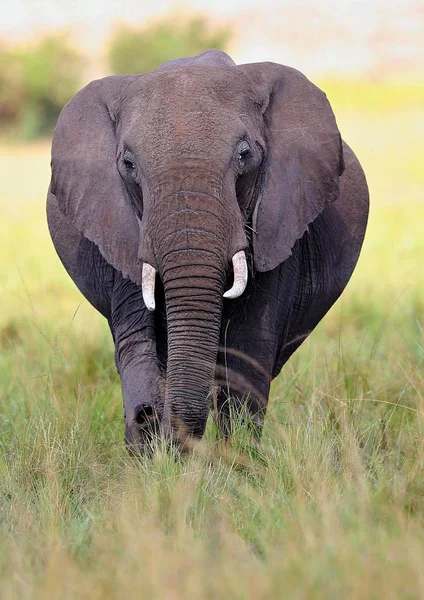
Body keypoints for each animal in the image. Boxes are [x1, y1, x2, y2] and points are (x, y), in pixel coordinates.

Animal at [47, 49, 368, 452]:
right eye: (128, 164)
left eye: (245, 155)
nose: (154, 421)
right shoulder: (118, 226)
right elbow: (139, 340)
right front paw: (151, 448)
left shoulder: (279, 217)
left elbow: (247, 348)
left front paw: (237, 459)